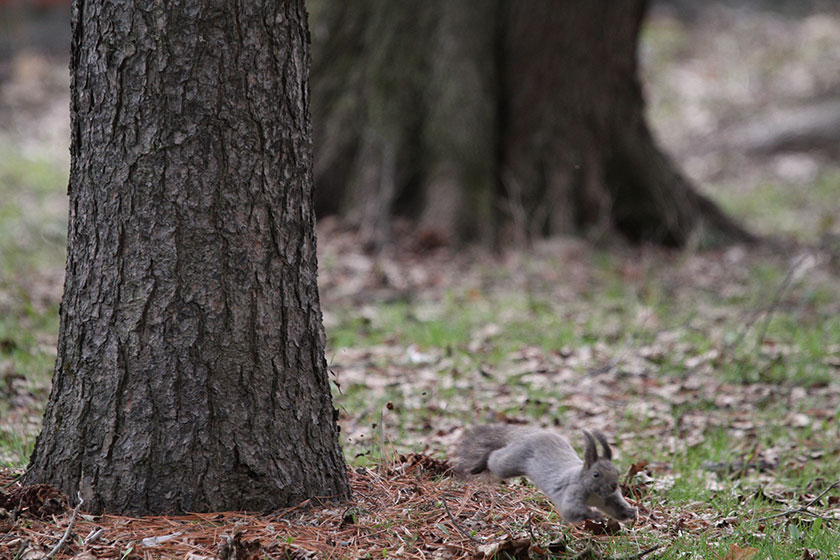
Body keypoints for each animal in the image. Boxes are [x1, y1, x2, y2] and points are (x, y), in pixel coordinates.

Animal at [452, 426, 636, 524]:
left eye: (617, 472)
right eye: (596, 474)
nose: (614, 485)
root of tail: (528, 434)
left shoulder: (610, 499)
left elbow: (617, 511)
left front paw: (631, 512)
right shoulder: (572, 490)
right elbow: (570, 510)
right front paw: (595, 515)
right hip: (510, 462)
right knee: (494, 457)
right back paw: (481, 462)